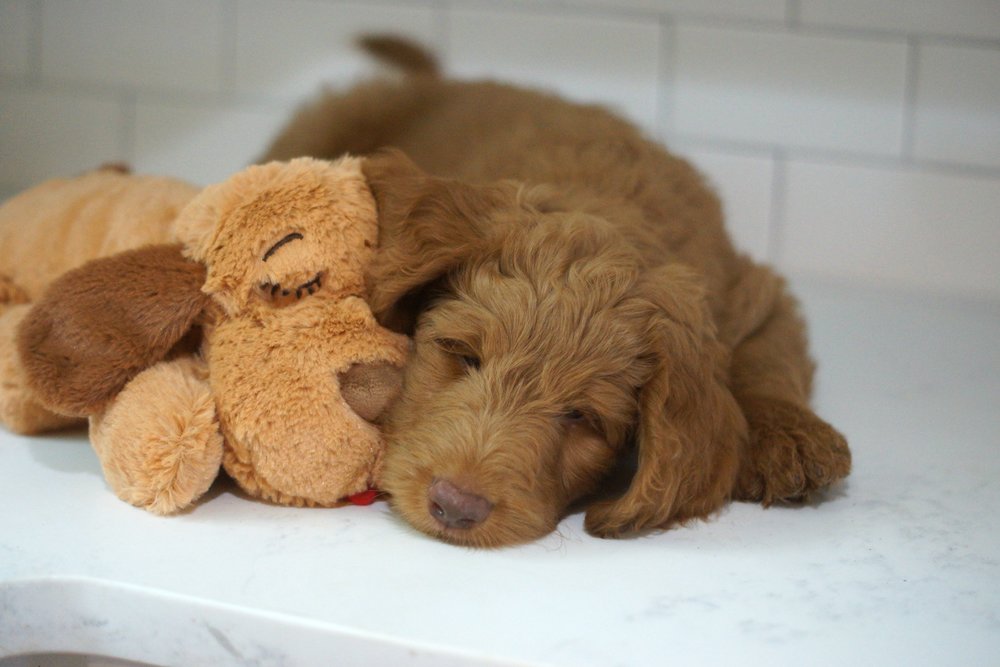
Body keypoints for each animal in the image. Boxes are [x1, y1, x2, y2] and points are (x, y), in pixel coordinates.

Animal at [262, 37, 848, 548]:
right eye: (462, 355)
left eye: (581, 418)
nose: (455, 506)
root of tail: (440, 79)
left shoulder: (747, 291)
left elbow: (766, 354)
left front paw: (793, 436)